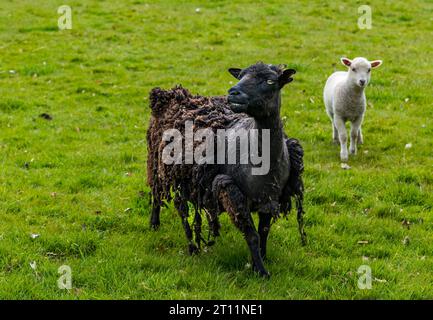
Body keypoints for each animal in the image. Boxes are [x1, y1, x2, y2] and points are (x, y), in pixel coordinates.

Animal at [147, 62, 306, 278]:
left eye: (270, 81)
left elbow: (263, 231)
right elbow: (252, 235)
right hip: (157, 163)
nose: (233, 92)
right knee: (165, 198)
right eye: (240, 76)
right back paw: (178, 238)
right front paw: (261, 271)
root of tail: (169, 94)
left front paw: (262, 258)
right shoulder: (232, 193)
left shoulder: (269, 197)